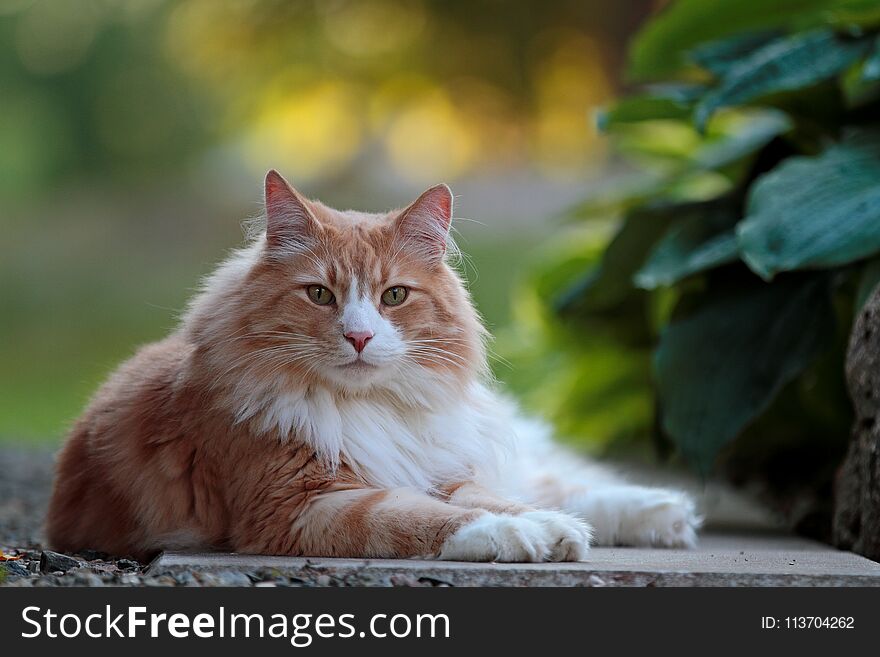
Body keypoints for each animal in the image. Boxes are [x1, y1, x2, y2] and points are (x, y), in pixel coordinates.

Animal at [46, 172, 700, 560]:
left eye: (394, 296)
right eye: (319, 295)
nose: (359, 336)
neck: (368, 410)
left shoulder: (444, 469)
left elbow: (493, 499)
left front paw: (552, 530)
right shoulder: (300, 507)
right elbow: (424, 517)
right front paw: (524, 535)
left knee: (560, 480)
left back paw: (669, 511)